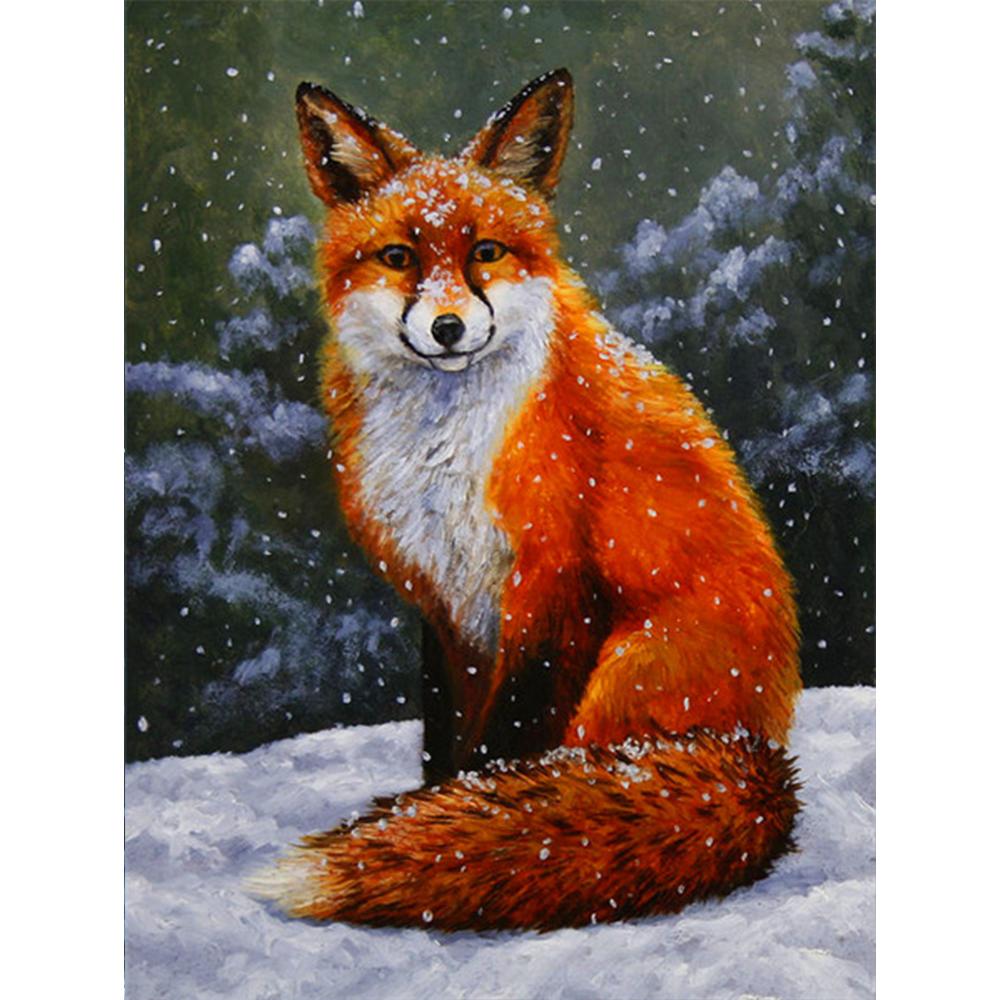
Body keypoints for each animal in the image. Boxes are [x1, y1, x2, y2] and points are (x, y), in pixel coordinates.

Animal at [251, 69, 801, 931]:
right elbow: (448, 737)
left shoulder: (553, 583)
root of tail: (764, 756)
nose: (447, 328)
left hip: (627, 671)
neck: (444, 451)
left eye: (486, 252)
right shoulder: (446, 599)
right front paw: (432, 813)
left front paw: (450, 831)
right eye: (399, 257)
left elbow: (505, 743)